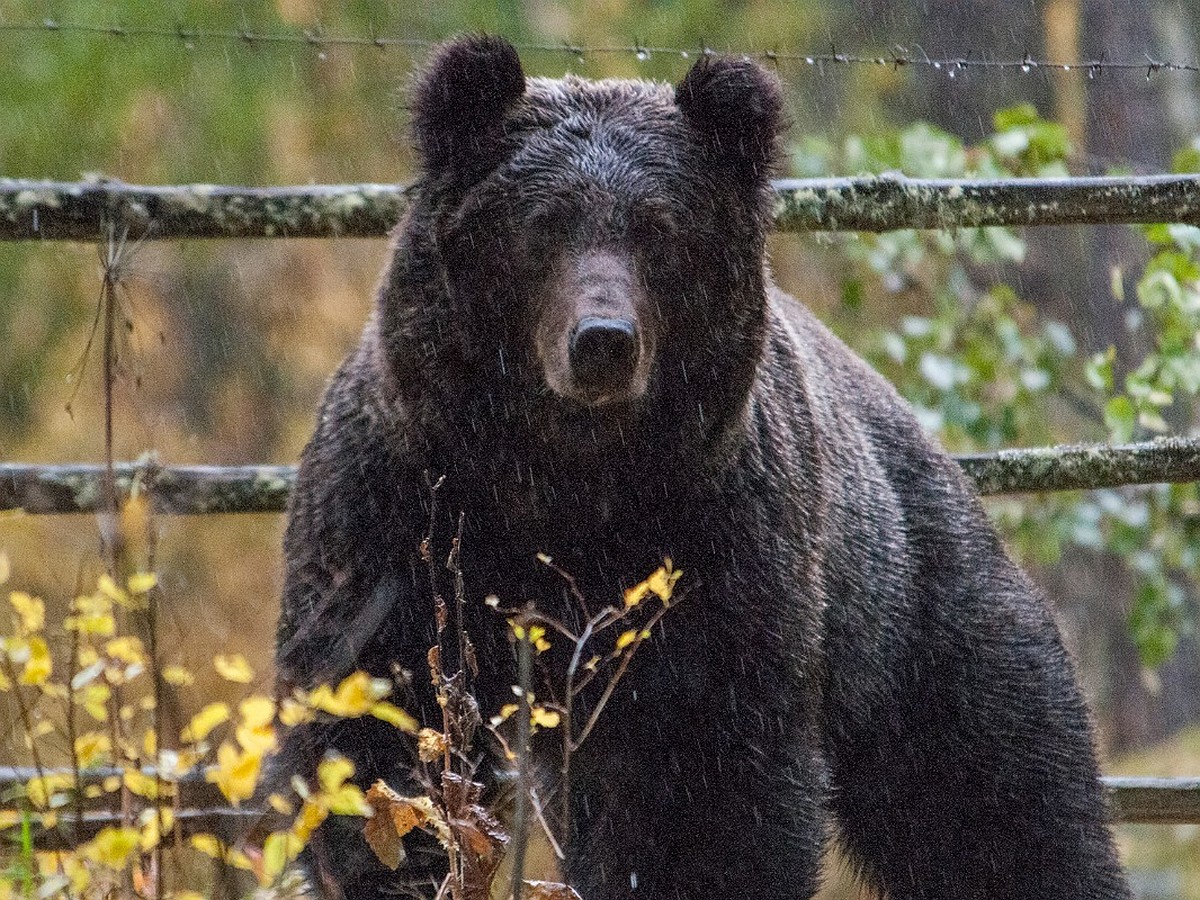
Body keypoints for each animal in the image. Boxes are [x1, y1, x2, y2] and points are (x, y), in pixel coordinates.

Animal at [274, 35, 1132, 900]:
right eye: (543, 225)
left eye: (658, 230)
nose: (604, 342)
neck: (563, 481)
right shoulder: (399, 514)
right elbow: (375, 728)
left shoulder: (718, 544)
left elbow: (701, 786)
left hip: (922, 633)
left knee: (1001, 809)